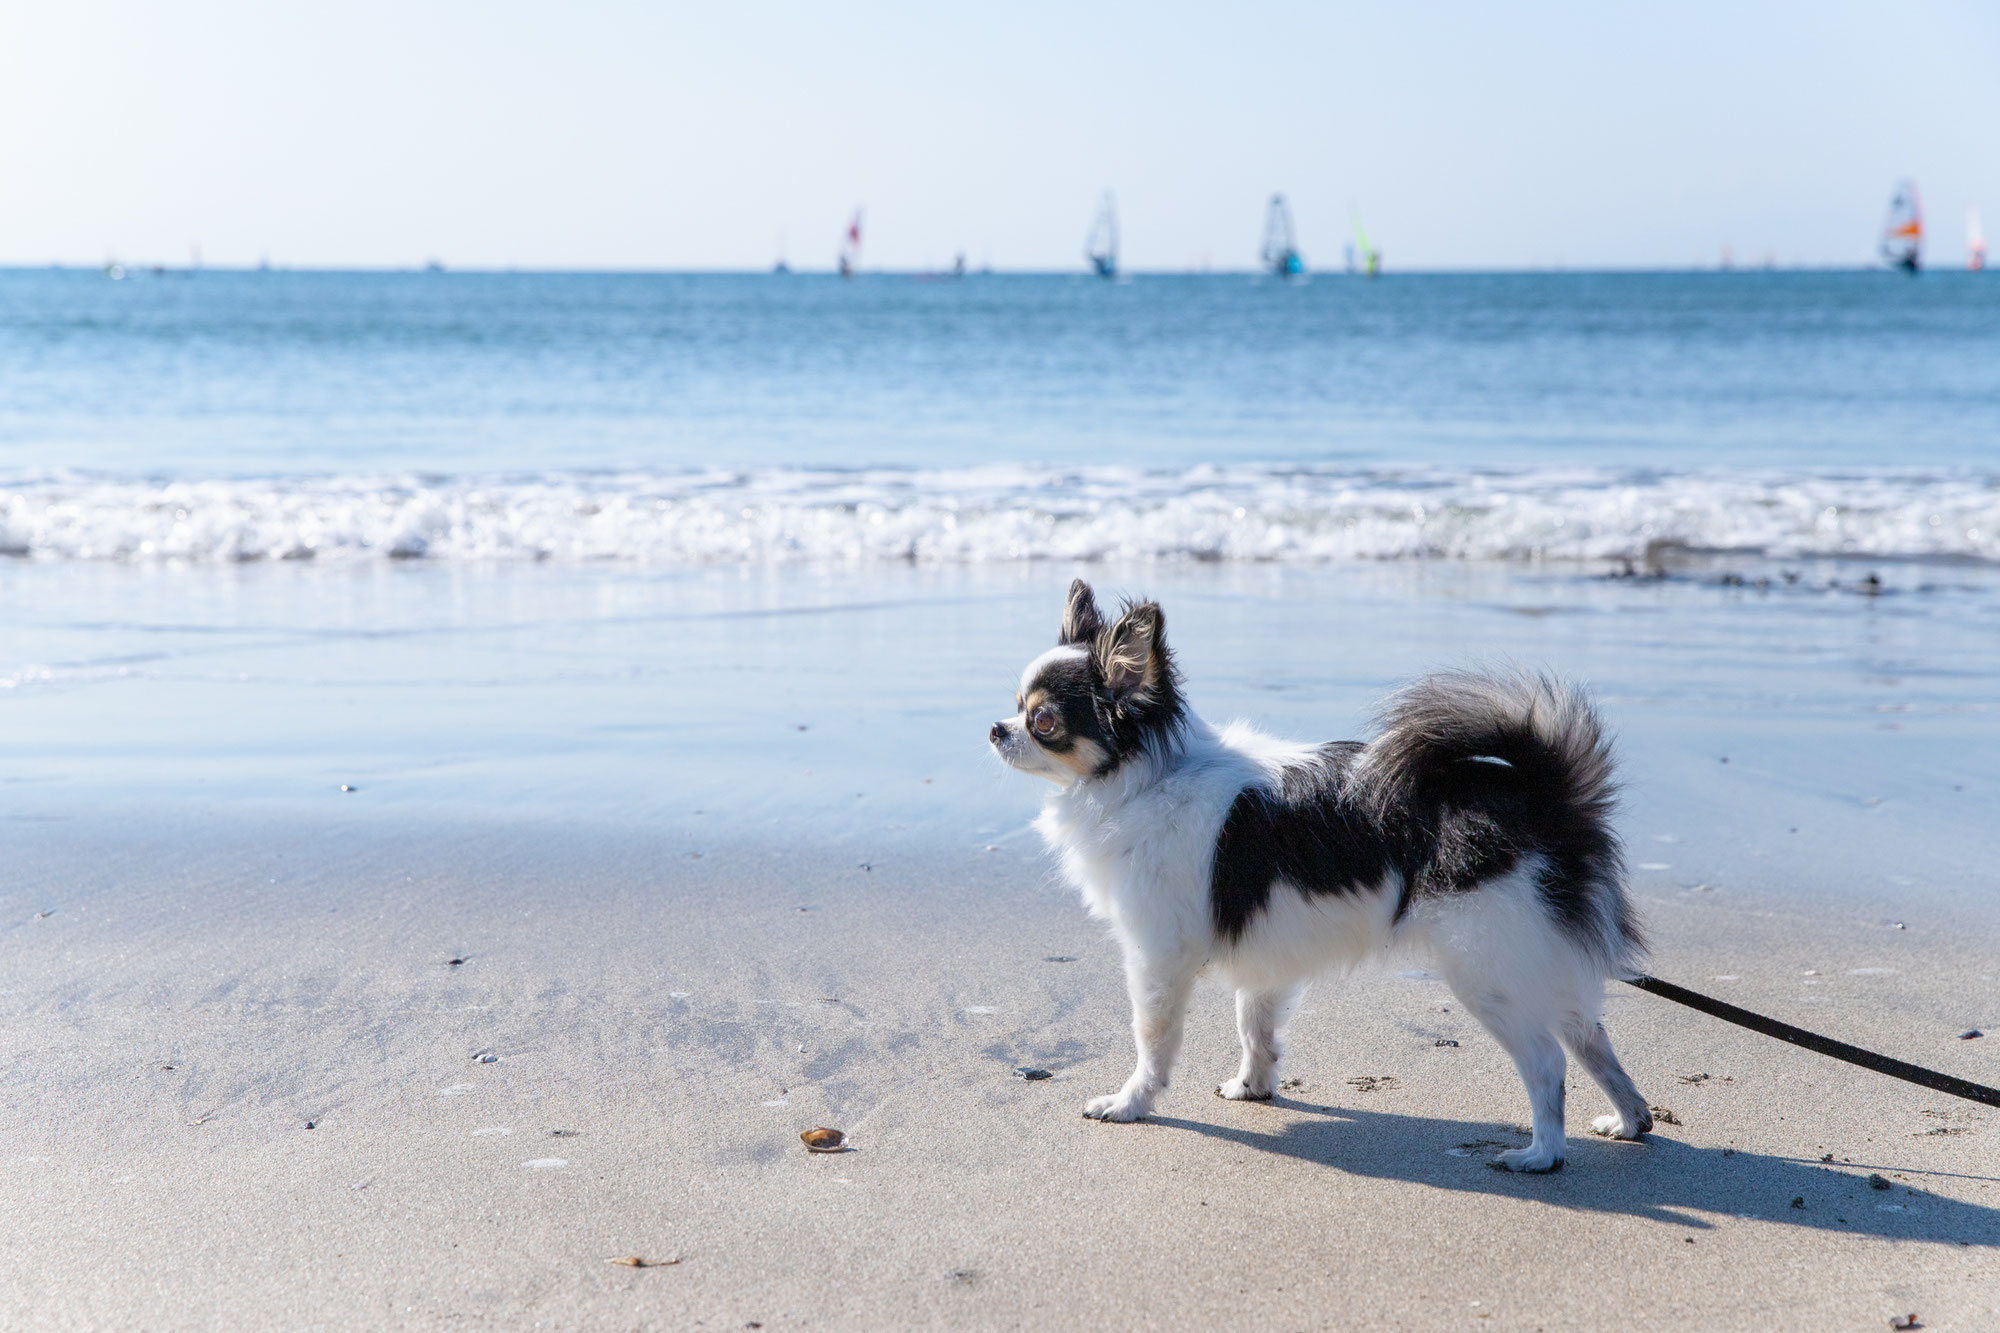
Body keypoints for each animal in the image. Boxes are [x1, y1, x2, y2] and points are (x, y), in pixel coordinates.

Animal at [988, 576, 1656, 1168]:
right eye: (1018, 708)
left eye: (1043, 721)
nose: (996, 729)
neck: (1151, 777)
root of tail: (1543, 799)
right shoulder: (1263, 954)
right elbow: (1253, 1023)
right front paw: (1253, 1086)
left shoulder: (1157, 955)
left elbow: (1152, 1041)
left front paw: (1130, 1104)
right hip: (1536, 957)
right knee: (1590, 1036)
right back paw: (1630, 1120)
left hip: (1489, 967)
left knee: (1548, 1062)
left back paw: (1542, 1155)